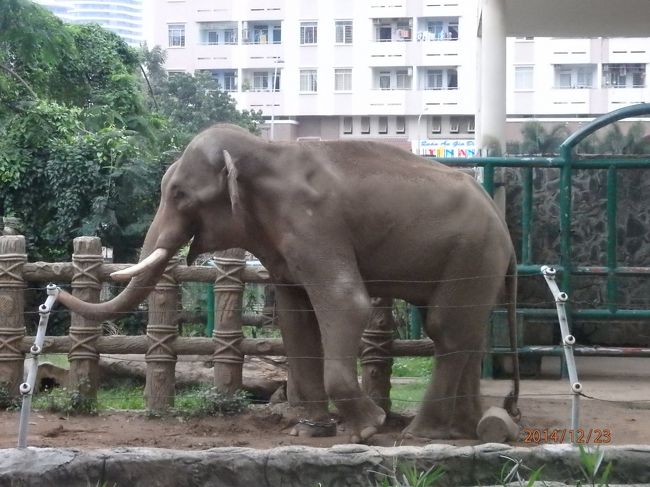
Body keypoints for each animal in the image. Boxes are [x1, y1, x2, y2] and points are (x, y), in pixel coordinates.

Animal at [58, 124, 520, 444]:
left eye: (180, 195)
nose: (56, 292)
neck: (266, 152)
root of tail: (503, 225)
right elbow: (296, 321)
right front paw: (309, 432)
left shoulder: (314, 224)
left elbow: (347, 303)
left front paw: (367, 430)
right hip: (470, 259)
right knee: (464, 329)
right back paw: (465, 430)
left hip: (473, 250)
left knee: (445, 329)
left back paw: (420, 434)